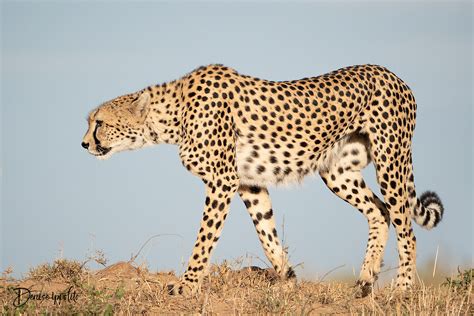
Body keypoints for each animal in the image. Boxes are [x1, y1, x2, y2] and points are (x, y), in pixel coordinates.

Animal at [82, 63, 444, 296]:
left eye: (99, 123)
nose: (84, 144)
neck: (174, 114)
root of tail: (394, 76)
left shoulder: (222, 181)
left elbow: (205, 238)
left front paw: (186, 285)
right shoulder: (247, 182)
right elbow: (265, 232)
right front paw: (288, 277)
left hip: (391, 160)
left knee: (406, 227)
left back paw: (402, 289)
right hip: (336, 171)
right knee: (379, 212)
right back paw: (366, 280)